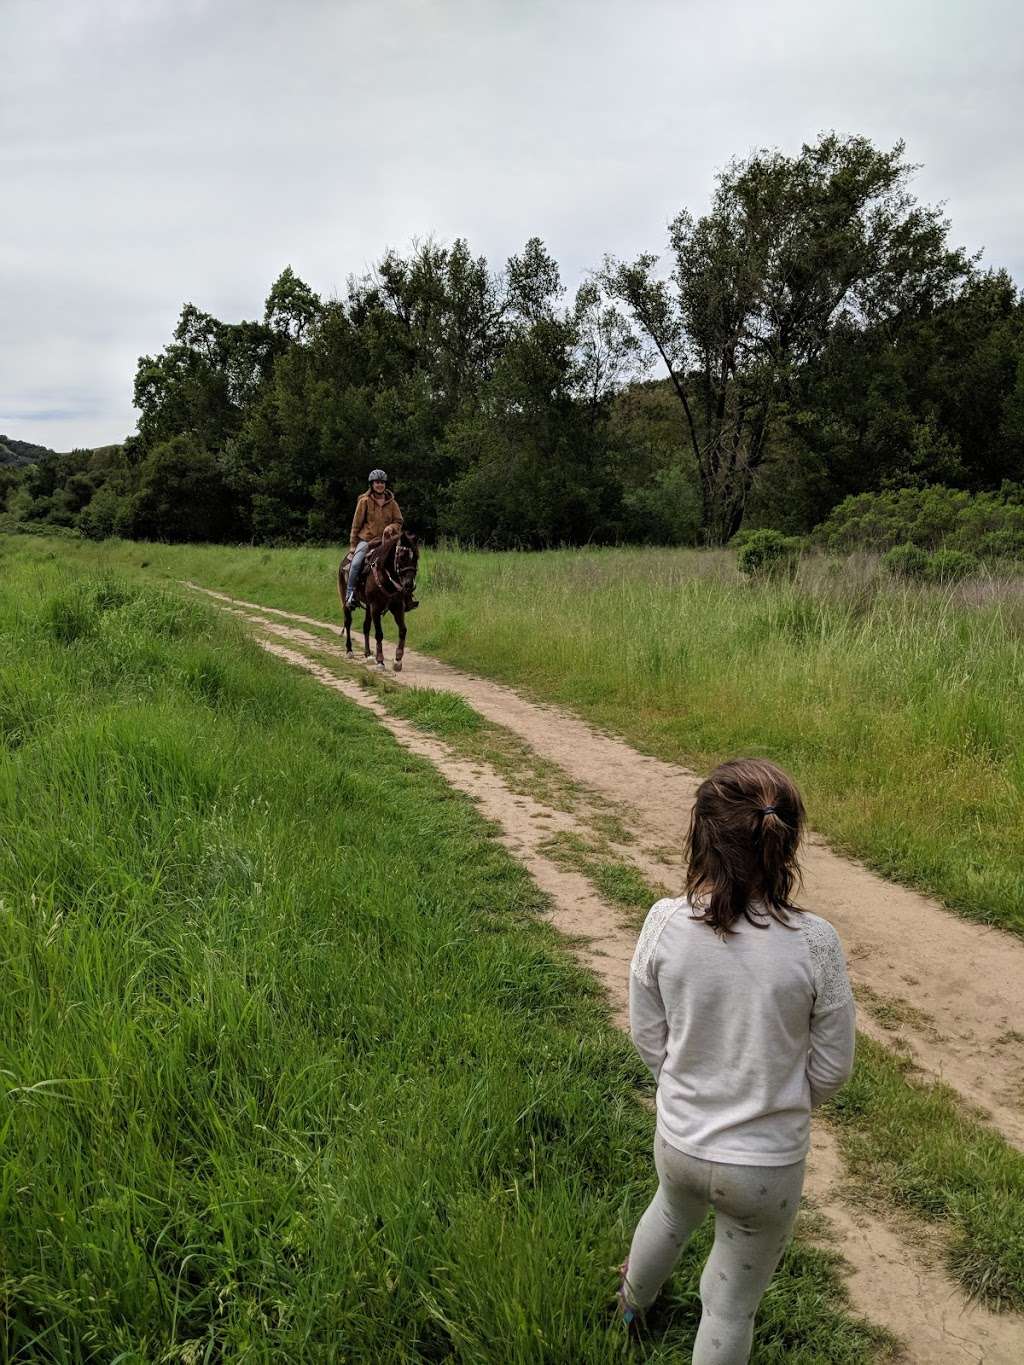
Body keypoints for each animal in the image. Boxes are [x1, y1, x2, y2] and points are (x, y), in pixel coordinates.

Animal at [334, 526, 417, 666]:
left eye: (416, 557)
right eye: (401, 557)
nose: (409, 585)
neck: (386, 577)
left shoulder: (397, 607)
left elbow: (403, 630)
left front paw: (398, 660)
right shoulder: (375, 607)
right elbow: (379, 633)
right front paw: (380, 661)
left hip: (368, 607)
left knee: (366, 626)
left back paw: (368, 654)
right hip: (347, 601)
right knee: (348, 622)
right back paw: (349, 650)